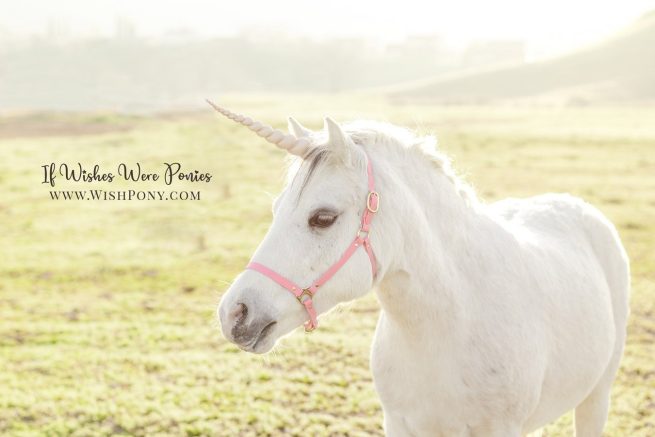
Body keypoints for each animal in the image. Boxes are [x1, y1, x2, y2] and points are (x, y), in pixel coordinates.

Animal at [213, 101, 630, 437]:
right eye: (276, 209)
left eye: (323, 217)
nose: (235, 313)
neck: (450, 322)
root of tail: (576, 205)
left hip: (597, 397)